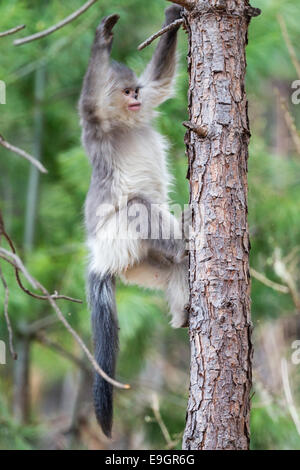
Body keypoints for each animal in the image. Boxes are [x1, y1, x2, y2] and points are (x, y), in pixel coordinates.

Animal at [78, 4, 189, 436]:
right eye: (125, 92)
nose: (136, 98)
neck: (123, 123)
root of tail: (100, 259)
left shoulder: (151, 97)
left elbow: (161, 79)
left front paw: (174, 12)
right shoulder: (94, 122)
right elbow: (88, 100)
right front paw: (102, 38)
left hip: (138, 263)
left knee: (172, 268)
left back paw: (183, 311)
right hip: (118, 236)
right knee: (138, 206)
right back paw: (187, 240)